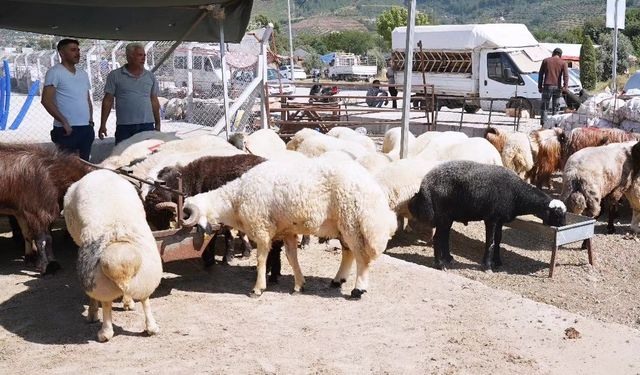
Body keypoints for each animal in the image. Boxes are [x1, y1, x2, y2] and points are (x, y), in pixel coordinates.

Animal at [0, 143, 94, 274]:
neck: (51, 174)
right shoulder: (35, 212)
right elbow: (41, 240)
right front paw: (44, 265)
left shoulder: (33, 211)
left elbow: (46, 238)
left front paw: (51, 261)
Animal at [182, 158, 398, 300]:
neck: (234, 200)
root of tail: (372, 186)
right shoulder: (287, 231)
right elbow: (291, 257)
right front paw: (299, 285)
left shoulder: (261, 229)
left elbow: (261, 260)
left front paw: (258, 288)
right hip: (344, 224)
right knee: (348, 252)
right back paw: (338, 280)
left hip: (353, 221)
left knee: (361, 256)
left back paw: (357, 290)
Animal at [410, 160, 564, 272]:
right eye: (557, 215)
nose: (562, 228)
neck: (517, 194)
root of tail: (426, 183)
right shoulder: (491, 218)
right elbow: (490, 241)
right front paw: (487, 266)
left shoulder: (500, 219)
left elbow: (498, 239)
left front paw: (498, 261)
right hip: (442, 215)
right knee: (437, 238)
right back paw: (440, 264)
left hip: (448, 217)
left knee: (445, 237)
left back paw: (448, 258)